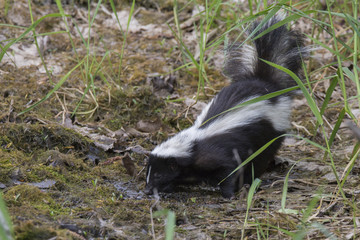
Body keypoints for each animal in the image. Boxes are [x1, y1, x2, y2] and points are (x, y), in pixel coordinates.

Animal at [145, 15, 308, 199]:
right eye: (148, 173)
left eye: (159, 174)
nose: (147, 189)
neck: (192, 144)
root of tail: (264, 83)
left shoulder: (218, 154)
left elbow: (229, 170)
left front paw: (228, 194)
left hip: (270, 133)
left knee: (262, 157)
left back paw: (252, 179)